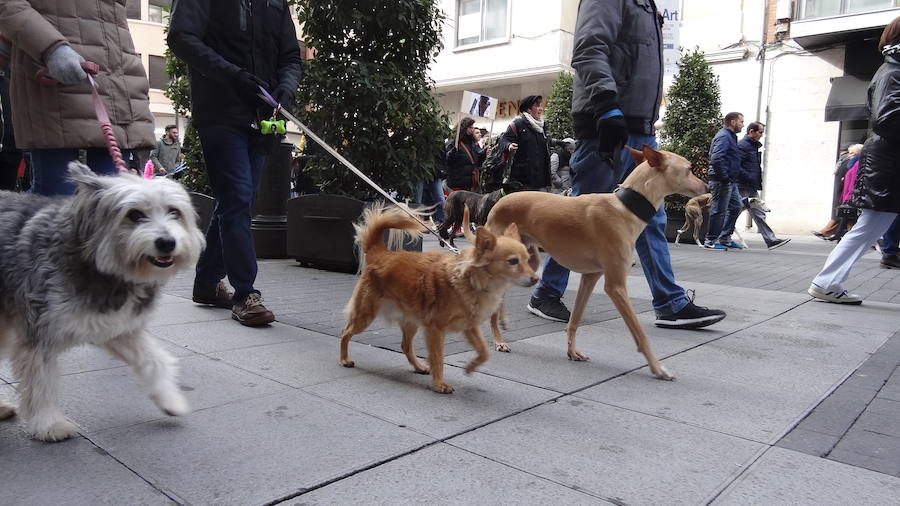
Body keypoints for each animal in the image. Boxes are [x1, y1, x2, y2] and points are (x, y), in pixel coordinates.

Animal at [0, 164, 204, 440]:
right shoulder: (38, 332)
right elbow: (41, 381)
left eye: (174, 212)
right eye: (134, 214)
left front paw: (170, 399)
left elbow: (155, 360)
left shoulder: (117, 326)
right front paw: (49, 423)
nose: (167, 242)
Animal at [338, 204, 536, 394]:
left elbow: (484, 351)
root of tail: (381, 253)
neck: (470, 279)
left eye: (528, 259)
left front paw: (470, 367)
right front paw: (440, 384)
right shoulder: (435, 330)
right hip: (365, 315)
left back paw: (419, 367)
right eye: (513, 261)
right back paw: (344, 359)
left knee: (405, 345)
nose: (536, 279)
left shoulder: (470, 326)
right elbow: (438, 358)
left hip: (411, 321)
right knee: (345, 333)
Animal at [486, 145, 712, 380]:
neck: (626, 208)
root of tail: (500, 200)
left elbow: (575, 320)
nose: (708, 186)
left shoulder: (590, 277)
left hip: (524, 263)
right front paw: (658, 368)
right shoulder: (616, 286)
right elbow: (640, 334)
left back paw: (502, 321)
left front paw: (572, 351)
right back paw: (498, 340)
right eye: (689, 169)